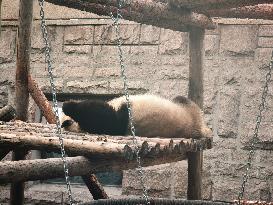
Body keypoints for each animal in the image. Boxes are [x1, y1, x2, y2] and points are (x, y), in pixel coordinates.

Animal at [61, 94, 210, 139]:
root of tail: (201, 129)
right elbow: (103, 117)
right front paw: (69, 105)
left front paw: (67, 104)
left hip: (186, 107)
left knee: (180, 98)